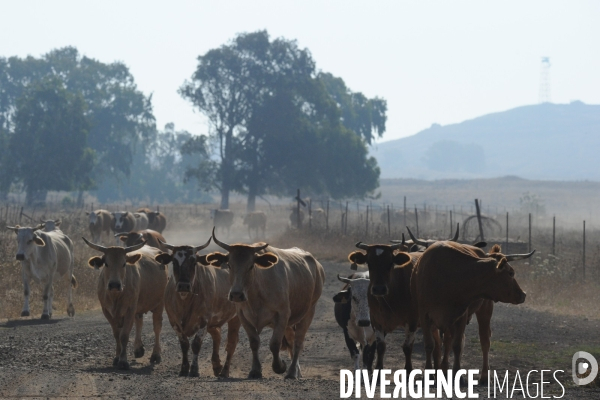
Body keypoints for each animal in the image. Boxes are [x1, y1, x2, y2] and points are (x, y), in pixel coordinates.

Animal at [82, 236, 169, 370]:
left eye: (124, 264)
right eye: (106, 263)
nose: (114, 284)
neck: (115, 296)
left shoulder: (130, 309)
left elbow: (124, 335)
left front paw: (123, 361)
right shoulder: (107, 311)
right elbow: (117, 334)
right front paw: (117, 358)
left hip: (159, 304)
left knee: (157, 327)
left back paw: (156, 355)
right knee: (139, 322)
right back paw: (138, 349)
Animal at [155, 238, 241, 378]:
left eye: (194, 262)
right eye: (174, 262)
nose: (183, 286)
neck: (184, 302)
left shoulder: (203, 321)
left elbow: (196, 344)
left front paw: (194, 369)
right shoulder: (174, 322)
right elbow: (184, 345)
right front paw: (184, 369)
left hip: (235, 317)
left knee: (231, 343)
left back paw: (224, 371)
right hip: (213, 322)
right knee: (217, 336)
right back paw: (217, 366)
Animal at [209, 228, 326, 378]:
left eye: (251, 266)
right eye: (229, 265)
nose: (236, 294)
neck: (256, 294)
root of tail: (317, 265)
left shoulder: (282, 314)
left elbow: (275, 344)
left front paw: (280, 366)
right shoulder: (243, 316)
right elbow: (254, 342)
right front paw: (255, 370)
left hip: (309, 311)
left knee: (298, 342)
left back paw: (292, 372)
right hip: (290, 322)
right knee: (291, 340)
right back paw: (296, 371)